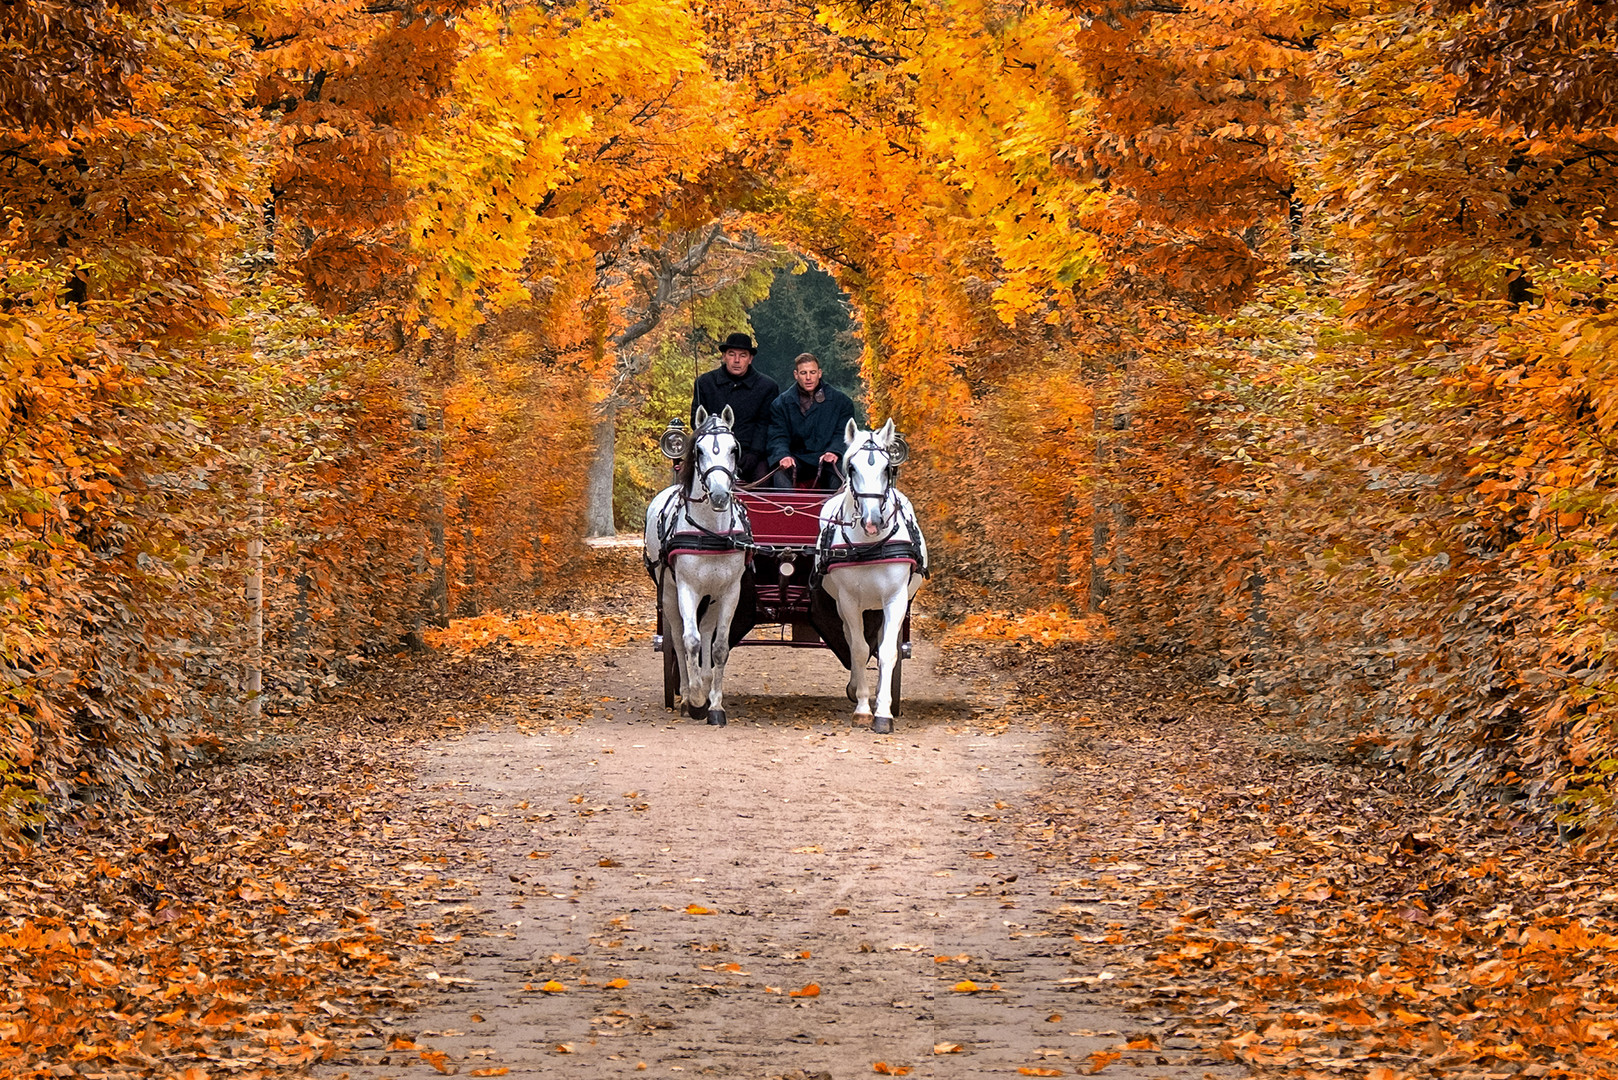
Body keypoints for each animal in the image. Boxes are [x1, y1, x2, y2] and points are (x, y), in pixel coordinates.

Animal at [640, 409, 747, 731]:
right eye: (698, 450)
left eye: (734, 449)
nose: (720, 495)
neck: (711, 532)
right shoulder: (686, 588)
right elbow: (690, 641)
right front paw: (697, 700)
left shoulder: (729, 591)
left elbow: (719, 646)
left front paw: (715, 705)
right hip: (669, 592)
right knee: (677, 636)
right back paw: (687, 694)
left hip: (711, 597)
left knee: (707, 631)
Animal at [815, 420, 931, 735]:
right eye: (852, 468)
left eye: (887, 467)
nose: (871, 522)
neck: (870, 545)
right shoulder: (848, 601)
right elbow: (857, 649)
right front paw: (863, 709)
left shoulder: (896, 599)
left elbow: (888, 652)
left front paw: (883, 712)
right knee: (852, 639)